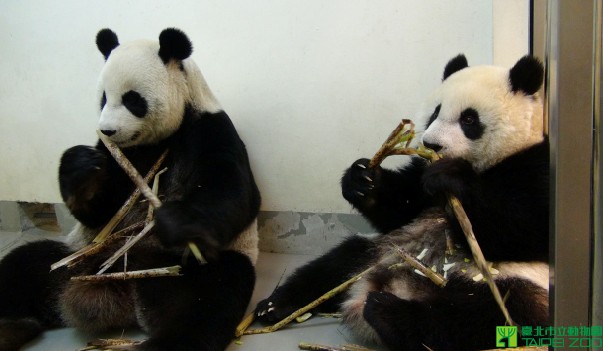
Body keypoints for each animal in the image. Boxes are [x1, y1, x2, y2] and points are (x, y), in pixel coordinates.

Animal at [0, 28, 262, 351]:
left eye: (132, 100)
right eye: (103, 98)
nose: (108, 130)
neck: (154, 141)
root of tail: (126, 289)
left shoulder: (208, 129)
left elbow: (234, 193)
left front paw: (176, 221)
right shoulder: (116, 154)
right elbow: (102, 210)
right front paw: (80, 166)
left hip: (186, 272)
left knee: (210, 303)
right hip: (74, 260)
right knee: (21, 269)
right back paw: (12, 327)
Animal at [258, 55, 548, 351]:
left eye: (469, 118)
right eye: (435, 113)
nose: (431, 144)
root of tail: (396, 284)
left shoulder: (537, 167)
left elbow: (515, 230)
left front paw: (450, 176)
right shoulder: (418, 179)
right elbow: (400, 208)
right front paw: (362, 179)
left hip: (499, 283)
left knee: (485, 316)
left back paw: (388, 314)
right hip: (381, 250)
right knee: (335, 264)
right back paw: (276, 306)